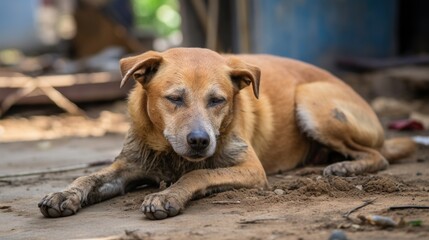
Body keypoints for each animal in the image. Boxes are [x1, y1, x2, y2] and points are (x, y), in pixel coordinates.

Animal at [37, 47, 414, 219]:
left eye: (217, 100)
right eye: (174, 99)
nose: (200, 141)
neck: (171, 154)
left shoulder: (250, 169)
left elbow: (198, 175)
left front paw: (169, 195)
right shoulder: (128, 166)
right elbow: (89, 178)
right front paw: (64, 194)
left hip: (312, 100)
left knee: (378, 155)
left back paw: (344, 166)